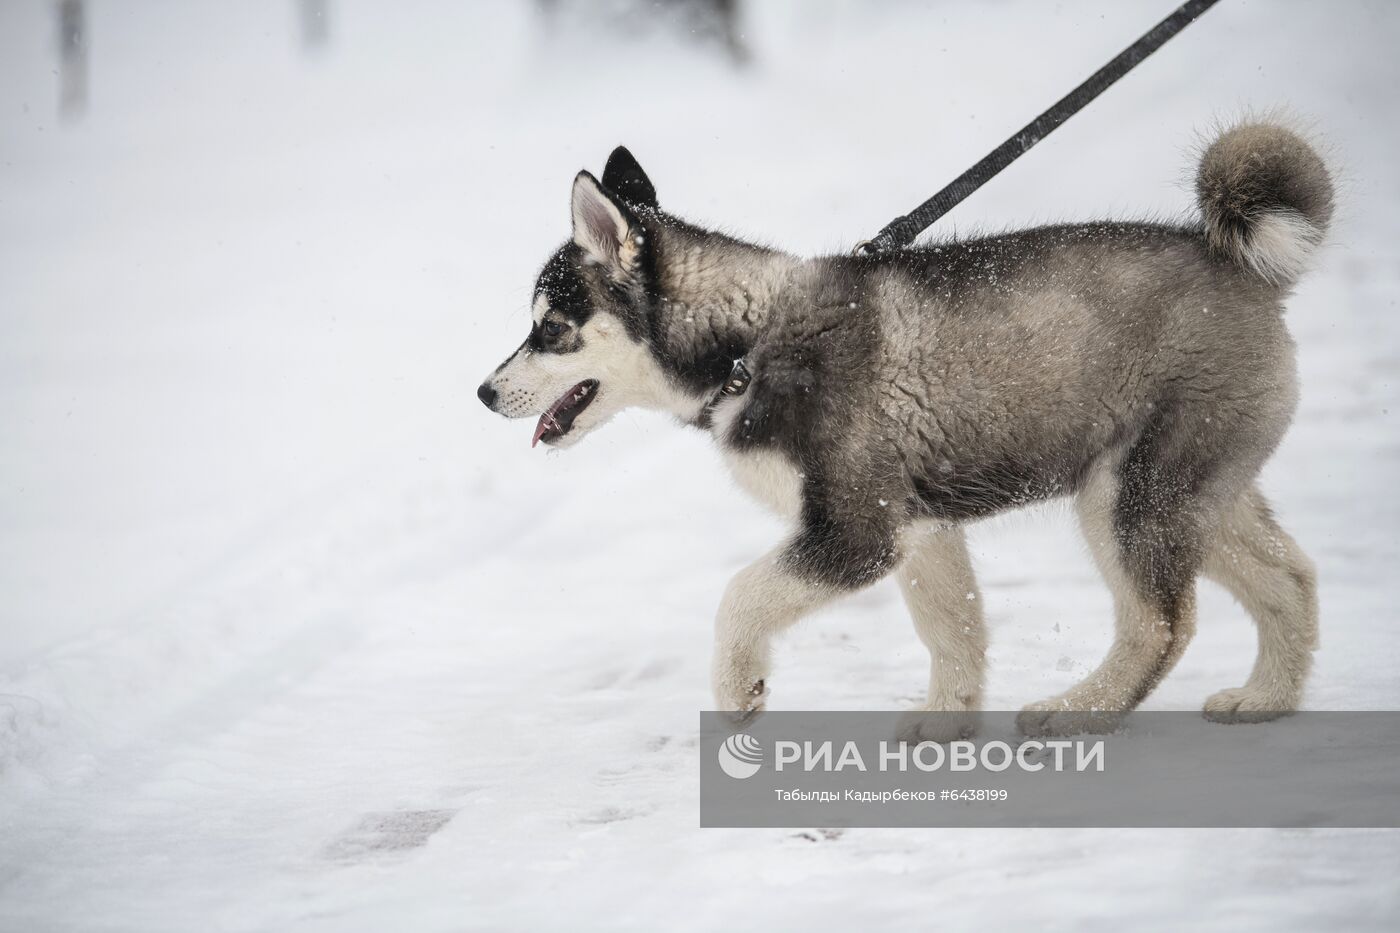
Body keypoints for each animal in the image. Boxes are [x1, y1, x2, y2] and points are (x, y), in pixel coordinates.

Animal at [476, 125, 1327, 734]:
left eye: (550, 328)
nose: (483, 392)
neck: (751, 342)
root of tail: (1238, 261)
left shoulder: (858, 530)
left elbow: (739, 596)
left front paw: (739, 689)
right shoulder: (918, 526)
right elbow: (954, 630)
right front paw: (944, 726)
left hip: (1126, 494)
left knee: (1161, 621)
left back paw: (1079, 709)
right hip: (1197, 488)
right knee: (1289, 576)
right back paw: (1266, 699)